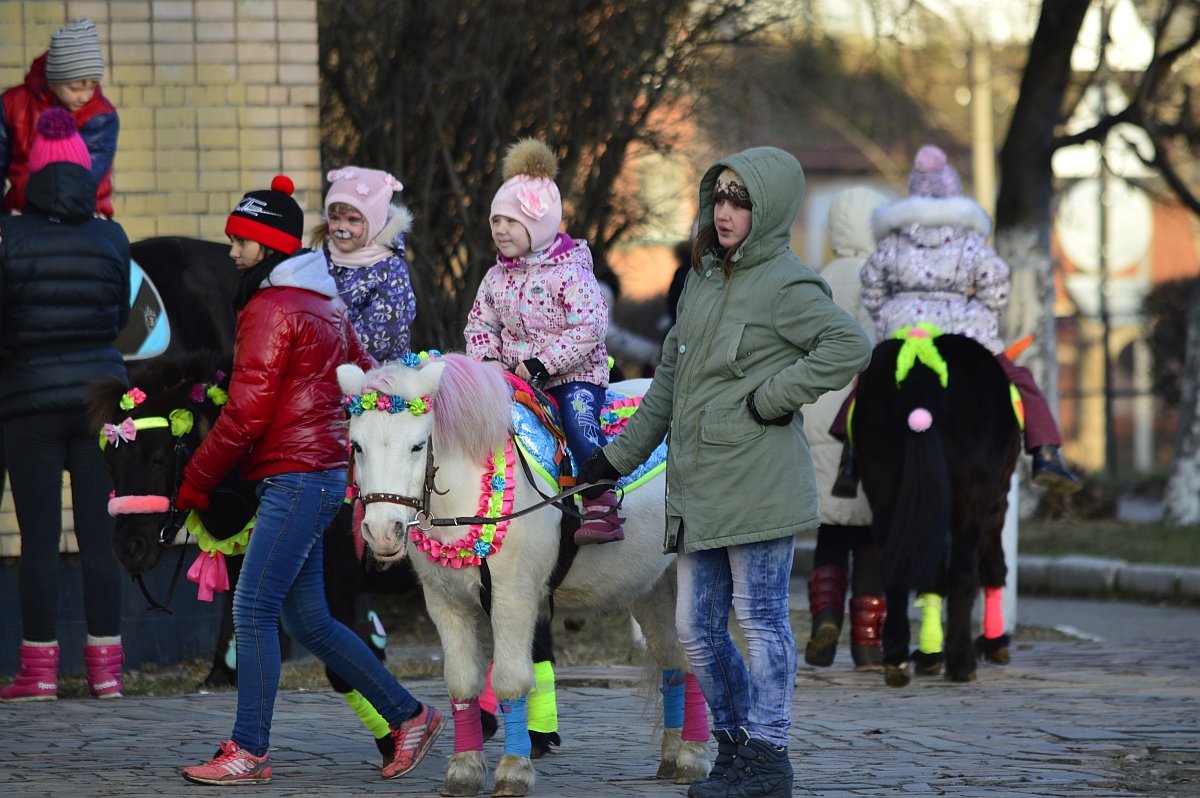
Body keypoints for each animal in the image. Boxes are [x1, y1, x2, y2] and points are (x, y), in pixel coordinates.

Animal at [336, 355, 710, 796]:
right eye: (356, 445)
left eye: (417, 445)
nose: (382, 531)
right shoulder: (444, 602)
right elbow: (462, 683)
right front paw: (464, 769)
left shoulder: (513, 598)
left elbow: (510, 681)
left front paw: (513, 770)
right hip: (651, 587)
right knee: (674, 659)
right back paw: (673, 755)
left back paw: (693, 757)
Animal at [854, 326, 1022, 686]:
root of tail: (921, 367)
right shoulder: (996, 502)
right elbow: (991, 565)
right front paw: (994, 642)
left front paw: (928, 654)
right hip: (974, 499)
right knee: (963, 572)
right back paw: (962, 662)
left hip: (884, 491)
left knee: (898, 567)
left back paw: (897, 658)